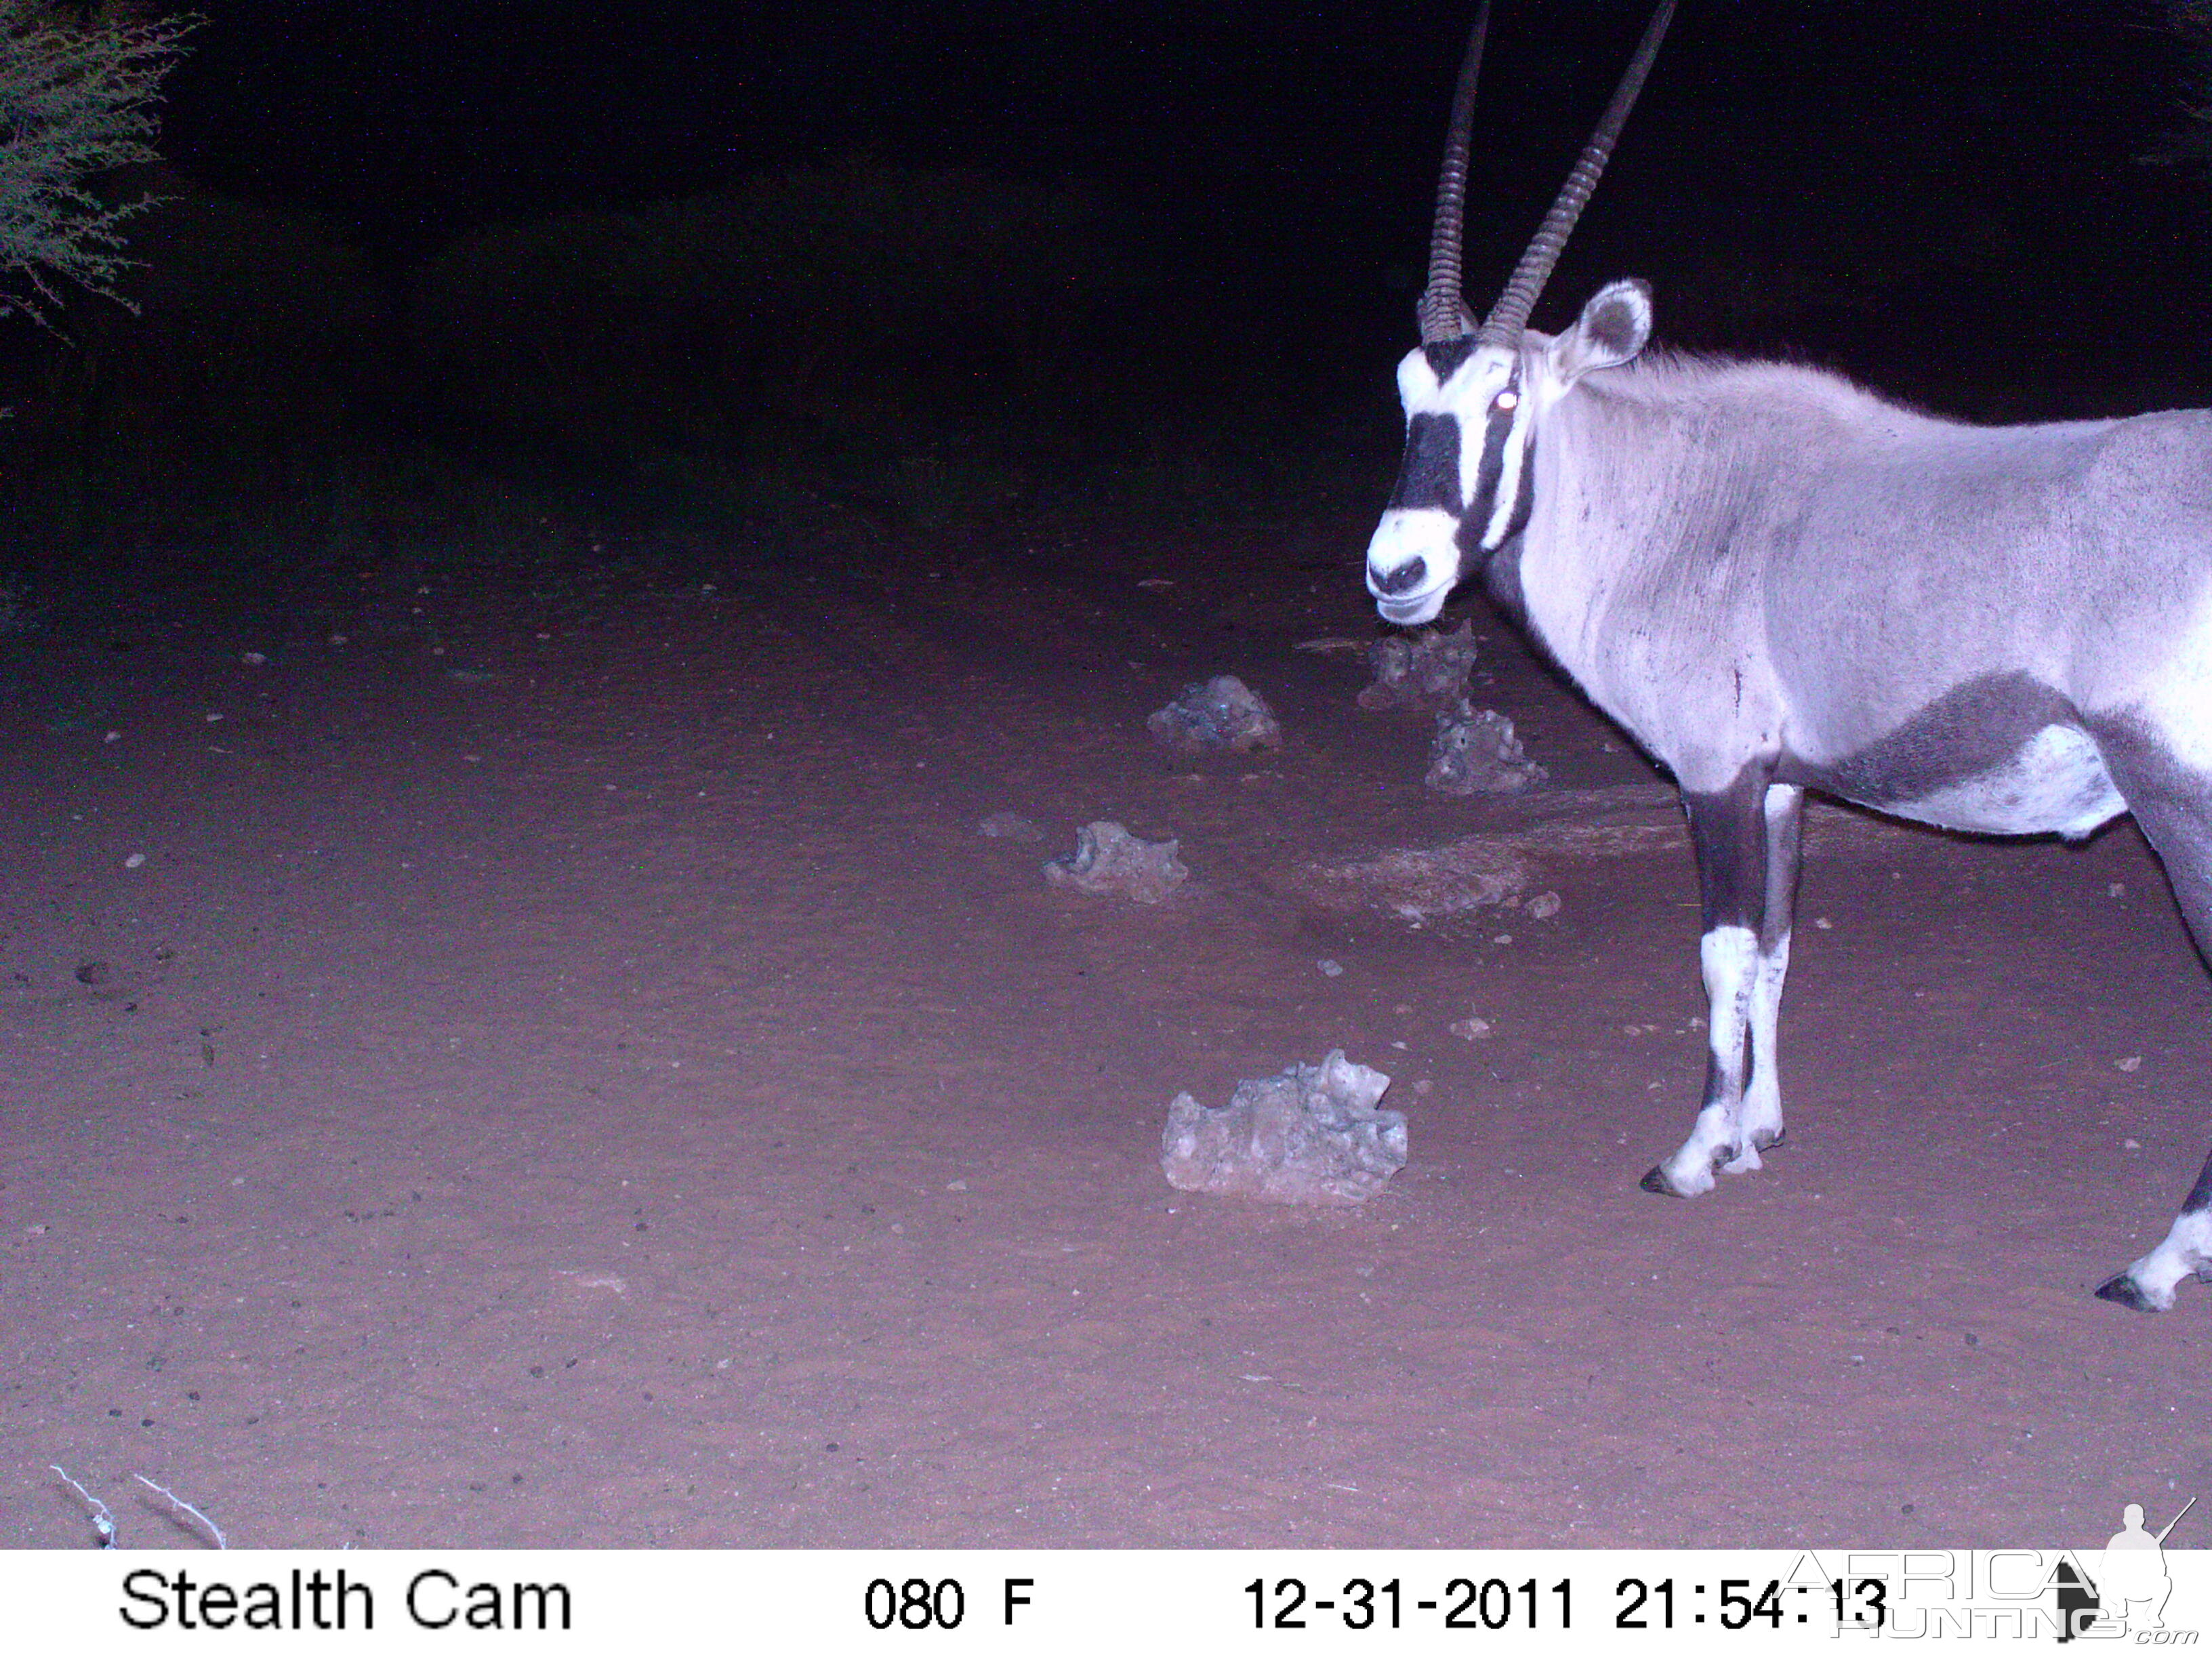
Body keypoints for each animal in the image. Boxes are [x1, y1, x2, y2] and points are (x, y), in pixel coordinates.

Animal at [1362, 0, 2212, 1318]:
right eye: (1410, 390)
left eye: (1506, 401)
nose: (1396, 572)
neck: (1683, 503)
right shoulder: (1778, 785)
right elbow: (1770, 948)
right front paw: (1757, 1129)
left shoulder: (1713, 776)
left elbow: (1718, 958)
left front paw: (1692, 1153)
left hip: (2180, 807)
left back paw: (2160, 1261)